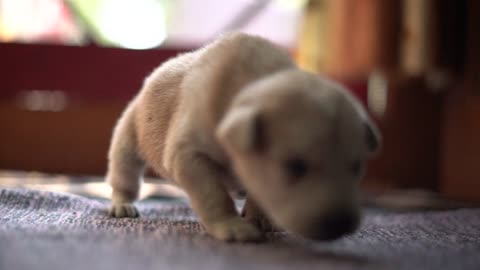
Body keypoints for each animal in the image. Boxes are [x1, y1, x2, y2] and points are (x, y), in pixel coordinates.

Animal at [107, 32, 380, 242]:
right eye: (295, 167)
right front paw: (233, 226)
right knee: (125, 173)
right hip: (128, 132)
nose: (342, 223)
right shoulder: (189, 154)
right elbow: (213, 194)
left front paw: (259, 217)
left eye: (357, 167)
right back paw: (122, 204)